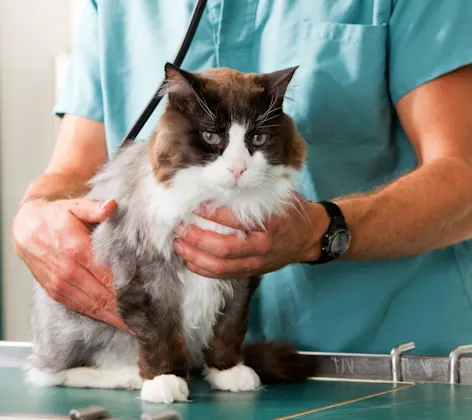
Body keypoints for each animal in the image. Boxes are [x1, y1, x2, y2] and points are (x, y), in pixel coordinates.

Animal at [27, 63, 312, 404]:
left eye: (257, 138)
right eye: (210, 136)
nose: (237, 169)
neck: (217, 202)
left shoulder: (240, 276)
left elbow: (229, 328)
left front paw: (227, 371)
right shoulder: (147, 274)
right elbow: (159, 333)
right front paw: (164, 381)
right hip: (77, 325)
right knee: (50, 372)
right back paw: (127, 376)